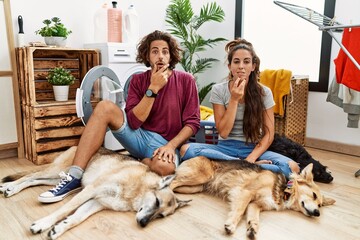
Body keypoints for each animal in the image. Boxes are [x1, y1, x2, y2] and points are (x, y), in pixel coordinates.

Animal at [170, 157, 336, 239]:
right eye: (313, 195)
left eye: (320, 205)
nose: (317, 213)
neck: (283, 190)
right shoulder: (245, 193)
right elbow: (239, 211)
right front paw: (230, 225)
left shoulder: (255, 205)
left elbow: (254, 218)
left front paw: (252, 229)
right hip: (200, 176)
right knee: (171, 182)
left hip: (195, 187)